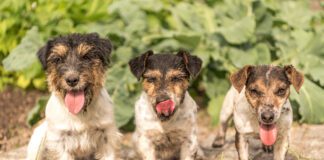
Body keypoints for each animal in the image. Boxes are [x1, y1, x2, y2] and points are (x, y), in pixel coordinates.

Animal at [26, 32, 120, 160]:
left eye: (86, 57)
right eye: (58, 59)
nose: (72, 80)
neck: (80, 113)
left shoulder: (107, 135)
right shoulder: (59, 141)